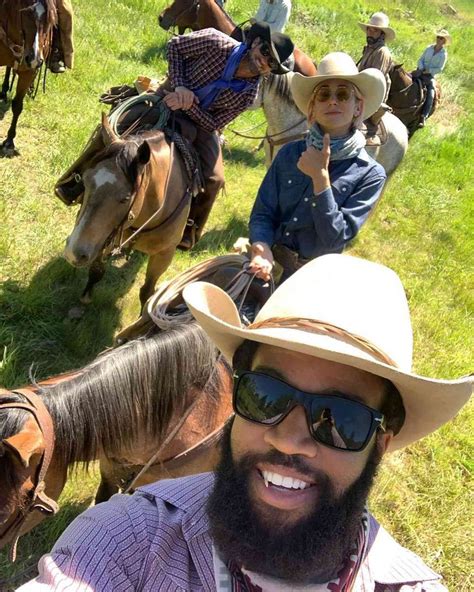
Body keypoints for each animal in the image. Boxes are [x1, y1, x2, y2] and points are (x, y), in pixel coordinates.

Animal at [0, 0, 56, 155]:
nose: (34, 60)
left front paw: (9, 141)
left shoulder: (29, 73)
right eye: (25, 12)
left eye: (50, 19)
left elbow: (17, 106)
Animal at [63, 112, 194, 306]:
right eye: (85, 182)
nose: (73, 254)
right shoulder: (105, 238)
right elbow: (96, 270)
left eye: (125, 198)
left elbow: (147, 291)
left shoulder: (165, 254)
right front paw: (86, 297)